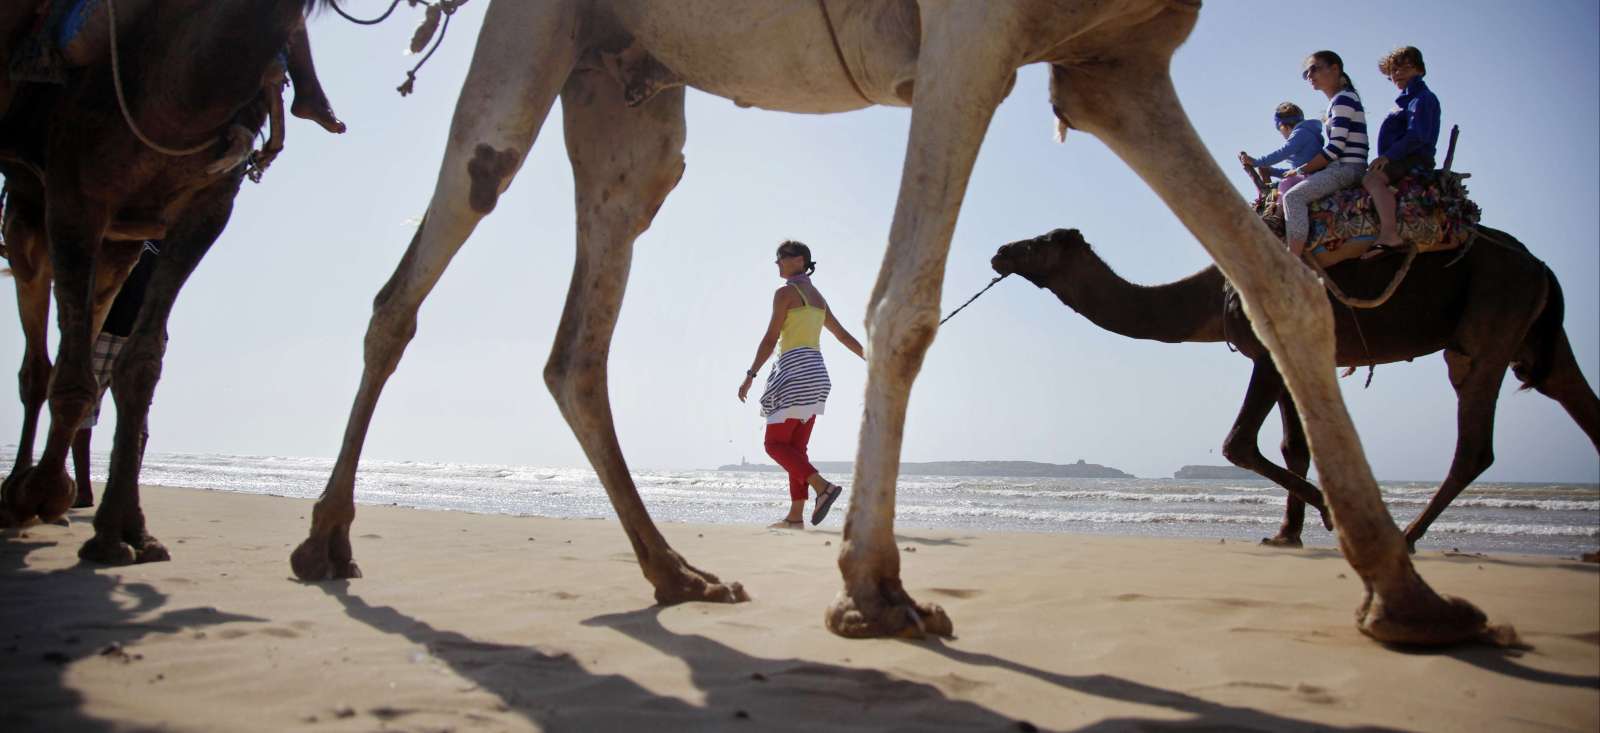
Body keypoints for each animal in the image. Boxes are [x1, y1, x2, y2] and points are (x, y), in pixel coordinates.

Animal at [0, 1, 321, 566]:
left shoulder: (208, 204)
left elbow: (143, 363)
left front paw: (124, 532)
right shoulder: (71, 191)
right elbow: (71, 374)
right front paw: (46, 496)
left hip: (113, 245)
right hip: (27, 216)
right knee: (37, 364)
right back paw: (23, 494)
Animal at [297, 0, 1497, 640]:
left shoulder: (1114, 58)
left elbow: (1284, 291)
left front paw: (1410, 596)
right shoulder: (976, 29)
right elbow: (902, 298)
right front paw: (876, 590)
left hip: (628, 80)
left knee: (576, 341)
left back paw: (679, 576)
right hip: (533, 28)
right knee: (428, 252)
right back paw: (326, 540)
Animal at [985, 227, 1600, 550]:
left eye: (1040, 242)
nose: (1000, 250)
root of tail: (1541, 266)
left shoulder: (1266, 348)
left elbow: (1238, 442)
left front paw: (1326, 514)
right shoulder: (1283, 356)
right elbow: (1292, 444)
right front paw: (1287, 533)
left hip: (1489, 320)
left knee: (1475, 437)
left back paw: (1404, 536)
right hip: (1530, 334)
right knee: (1570, 393)